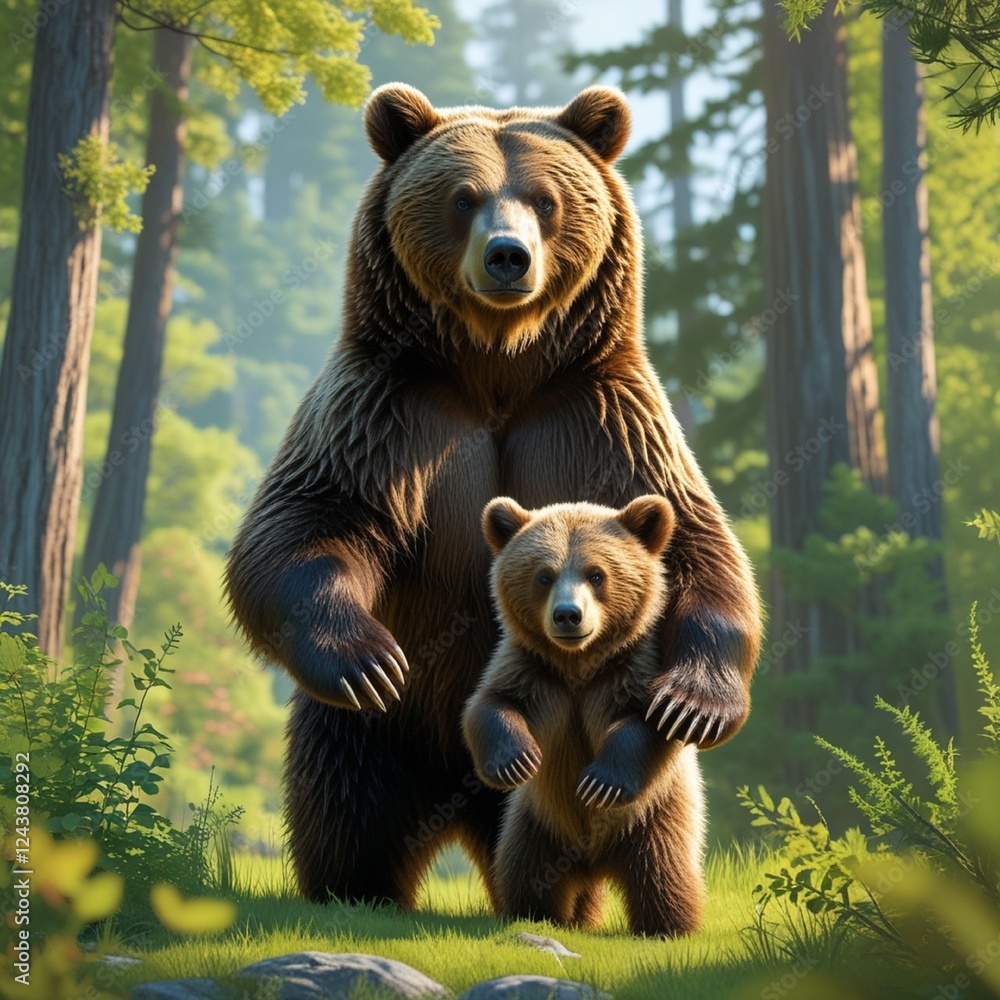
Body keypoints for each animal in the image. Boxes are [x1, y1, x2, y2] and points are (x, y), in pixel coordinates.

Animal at [462, 494, 705, 937]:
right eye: (544, 575)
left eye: (596, 574)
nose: (568, 615)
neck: (578, 666)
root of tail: (593, 865)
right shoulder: (533, 673)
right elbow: (490, 706)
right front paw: (516, 760)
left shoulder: (630, 671)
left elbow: (650, 723)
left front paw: (599, 783)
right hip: (535, 823)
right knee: (525, 874)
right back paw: (537, 915)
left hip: (656, 819)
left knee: (664, 874)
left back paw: (670, 927)